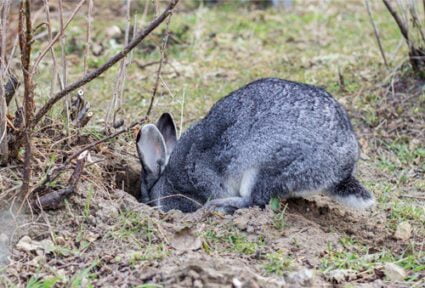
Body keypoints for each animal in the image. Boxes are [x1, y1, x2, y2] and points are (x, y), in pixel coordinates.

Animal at [135, 77, 372, 213]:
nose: (143, 202)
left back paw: (218, 207)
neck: (164, 180)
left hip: (264, 166)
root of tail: (341, 169)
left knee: (253, 200)